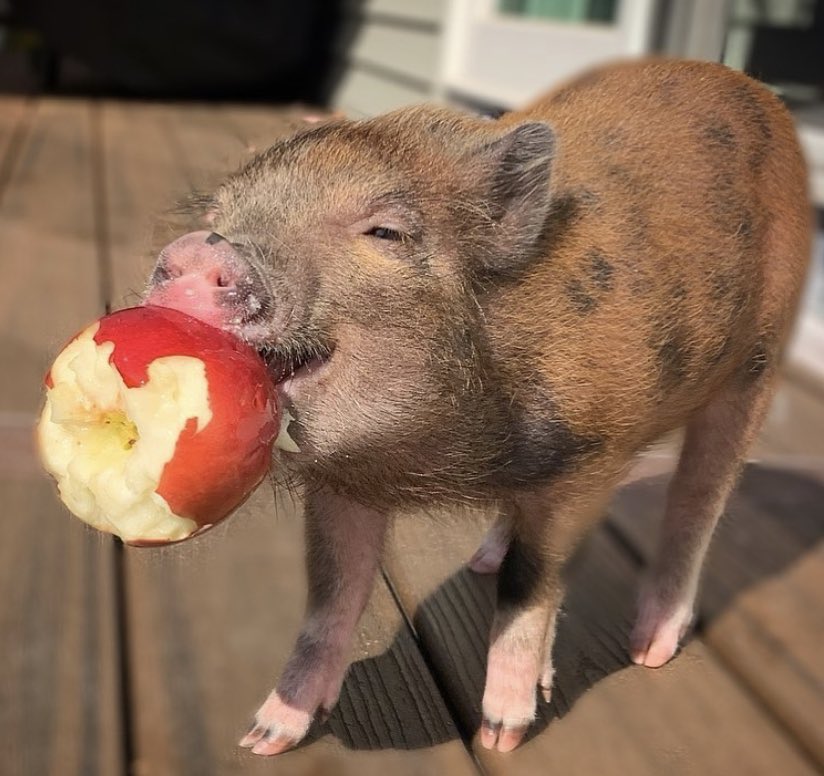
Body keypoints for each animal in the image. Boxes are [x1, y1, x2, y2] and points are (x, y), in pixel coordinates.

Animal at [144, 58, 811, 755]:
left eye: (385, 232)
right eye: (218, 213)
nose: (201, 248)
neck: (425, 453)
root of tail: (755, 93)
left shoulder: (589, 458)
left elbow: (531, 584)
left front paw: (502, 736)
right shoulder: (342, 486)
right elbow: (330, 595)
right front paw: (263, 739)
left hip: (758, 364)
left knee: (698, 499)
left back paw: (649, 648)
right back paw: (480, 561)